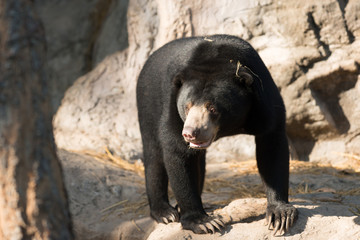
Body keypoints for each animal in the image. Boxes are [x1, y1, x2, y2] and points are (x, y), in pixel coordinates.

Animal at [136, 33, 296, 234]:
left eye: (212, 108)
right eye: (187, 106)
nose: (190, 133)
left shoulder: (263, 101)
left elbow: (272, 144)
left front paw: (279, 215)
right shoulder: (172, 105)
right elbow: (177, 151)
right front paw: (203, 222)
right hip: (148, 100)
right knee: (154, 154)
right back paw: (165, 212)